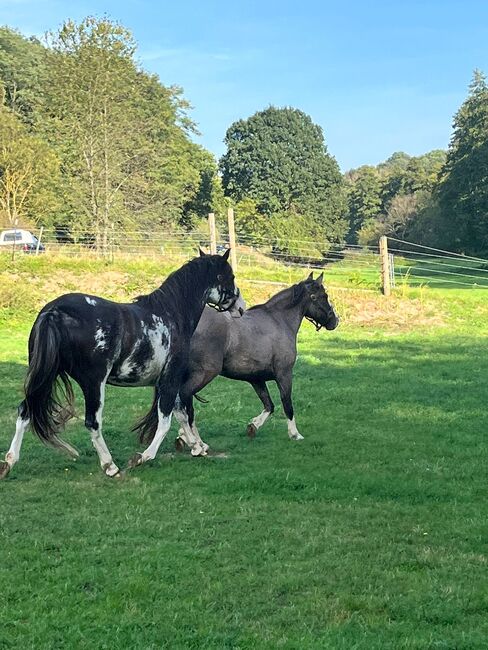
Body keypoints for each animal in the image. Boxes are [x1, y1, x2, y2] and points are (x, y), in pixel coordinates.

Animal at [0, 248, 243, 476]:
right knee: (92, 422)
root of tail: (54, 312)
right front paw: (143, 457)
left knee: (25, 410)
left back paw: (10, 462)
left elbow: (180, 413)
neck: (171, 315)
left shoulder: (168, 380)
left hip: (47, 375)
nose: (240, 307)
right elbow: (167, 419)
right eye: (230, 276)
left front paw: (196, 446)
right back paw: (110, 466)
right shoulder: (171, 376)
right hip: (93, 383)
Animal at [173, 272, 342, 450]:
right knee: (183, 400)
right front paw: (295, 434)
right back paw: (197, 444)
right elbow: (287, 403)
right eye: (323, 296)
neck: (278, 321)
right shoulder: (284, 374)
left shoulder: (256, 378)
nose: (334, 321)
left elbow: (269, 405)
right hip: (205, 374)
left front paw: (253, 425)